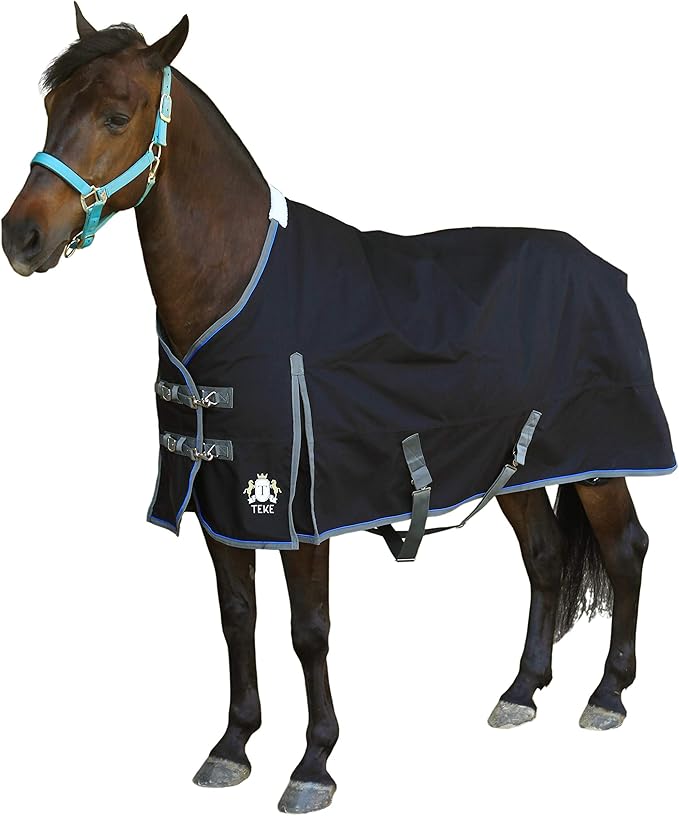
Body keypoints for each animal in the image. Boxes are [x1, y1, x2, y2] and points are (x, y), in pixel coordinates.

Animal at [2, 6, 674, 813]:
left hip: (599, 462)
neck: (237, 286)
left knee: (626, 549)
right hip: (514, 466)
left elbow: (308, 630)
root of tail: (606, 270)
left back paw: (608, 695)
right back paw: (520, 691)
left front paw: (313, 765)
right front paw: (232, 746)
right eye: (48, 107)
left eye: (115, 115)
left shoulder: (296, 506)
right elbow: (237, 619)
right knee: (542, 557)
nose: (20, 237)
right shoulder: (223, 497)